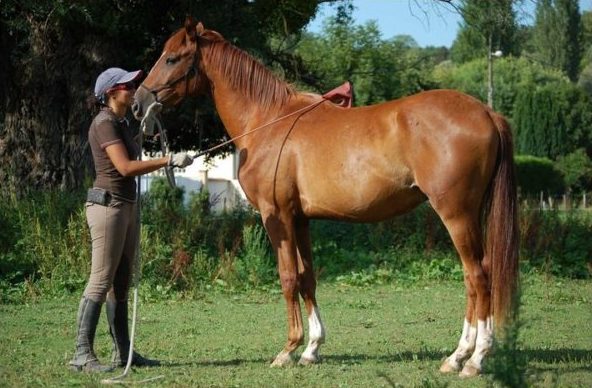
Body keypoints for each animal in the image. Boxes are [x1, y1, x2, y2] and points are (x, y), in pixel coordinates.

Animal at [134, 18, 520, 376]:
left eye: (172, 58)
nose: (139, 103)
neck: (269, 120)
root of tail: (487, 112)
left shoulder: (277, 217)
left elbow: (288, 277)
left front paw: (288, 349)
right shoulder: (300, 219)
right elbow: (308, 277)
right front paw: (312, 348)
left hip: (456, 215)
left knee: (478, 276)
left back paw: (474, 359)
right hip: (469, 215)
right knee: (473, 279)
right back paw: (458, 357)